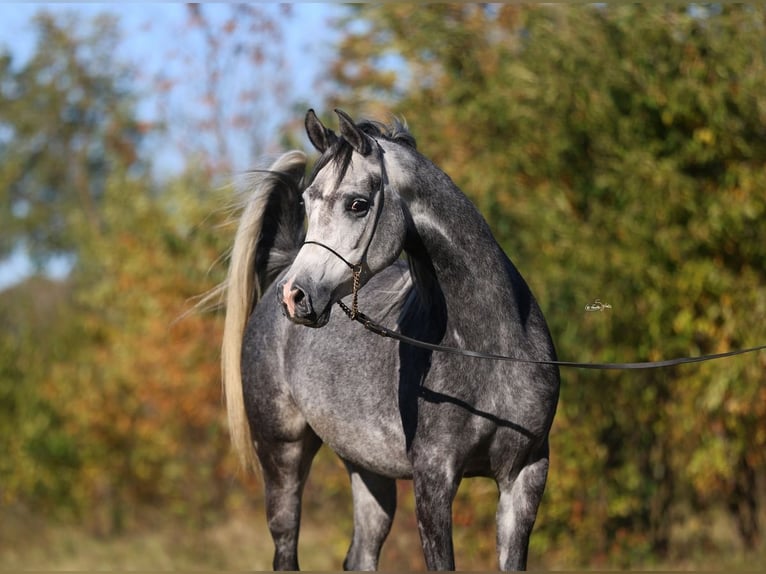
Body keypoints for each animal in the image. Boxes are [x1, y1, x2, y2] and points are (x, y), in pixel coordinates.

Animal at [219, 108, 560, 570]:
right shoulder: (434, 478)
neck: (491, 351)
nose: (296, 296)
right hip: (282, 454)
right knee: (286, 548)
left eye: (357, 204)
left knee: (360, 555)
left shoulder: (524, 475)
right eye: (308, 202)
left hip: (366, 466)